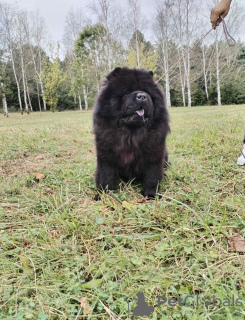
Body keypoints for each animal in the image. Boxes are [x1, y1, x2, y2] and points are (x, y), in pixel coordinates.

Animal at [94, 68, 170, 200]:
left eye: (146, 92)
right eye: (127, 93)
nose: (142, 96)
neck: (131, 134)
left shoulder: (153, 156)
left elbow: (151, 177)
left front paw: (151, 195)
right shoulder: (106, 156)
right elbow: (106, 177)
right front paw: (103, 195)